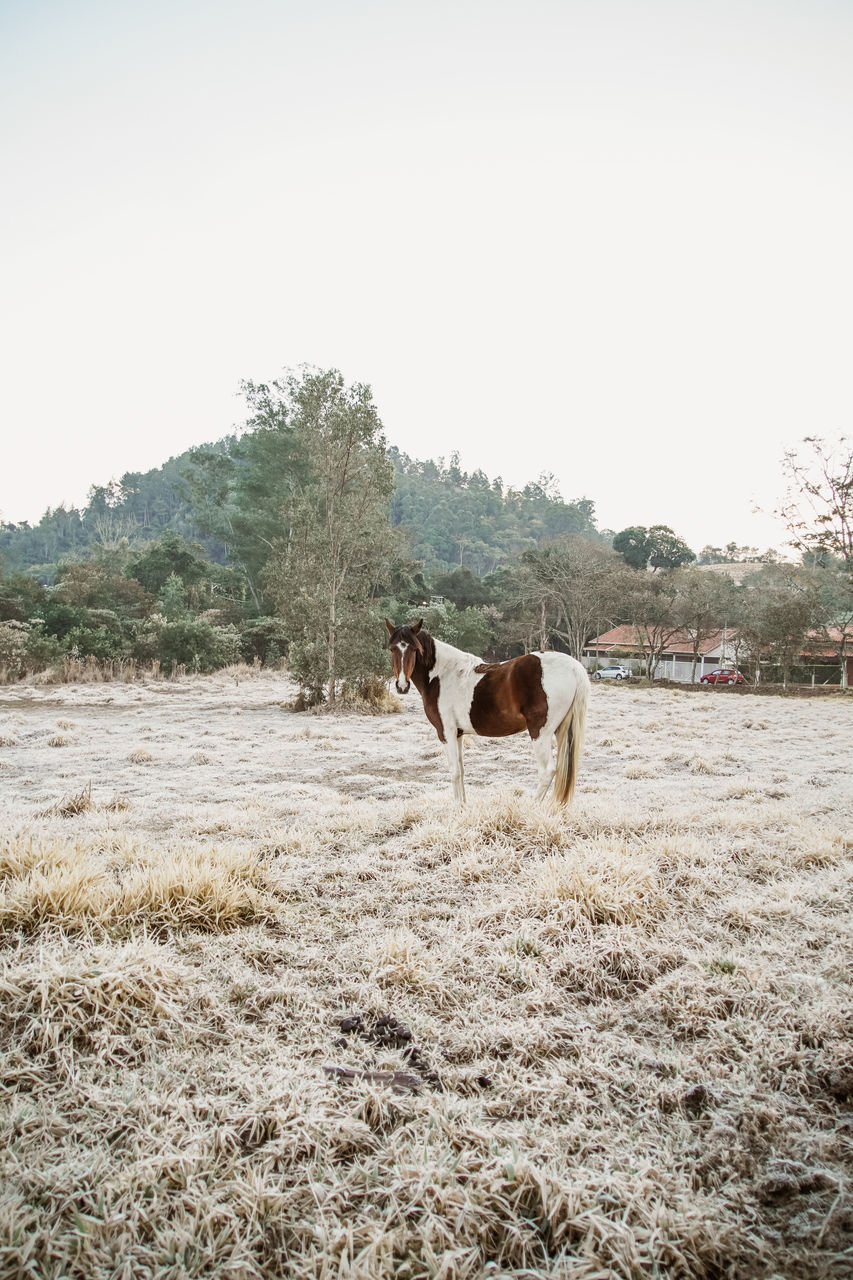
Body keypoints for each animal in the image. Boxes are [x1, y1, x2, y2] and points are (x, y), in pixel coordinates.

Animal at [384, 616, 589, 798]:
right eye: (392, 649)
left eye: (414, 649)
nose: (402, 686)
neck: (442, 675)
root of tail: (574, 667)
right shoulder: (458, 734)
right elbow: (462, 771)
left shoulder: (446, 732)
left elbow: (454, 772)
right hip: (561, 730)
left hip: (540, 732)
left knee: (547, 771)